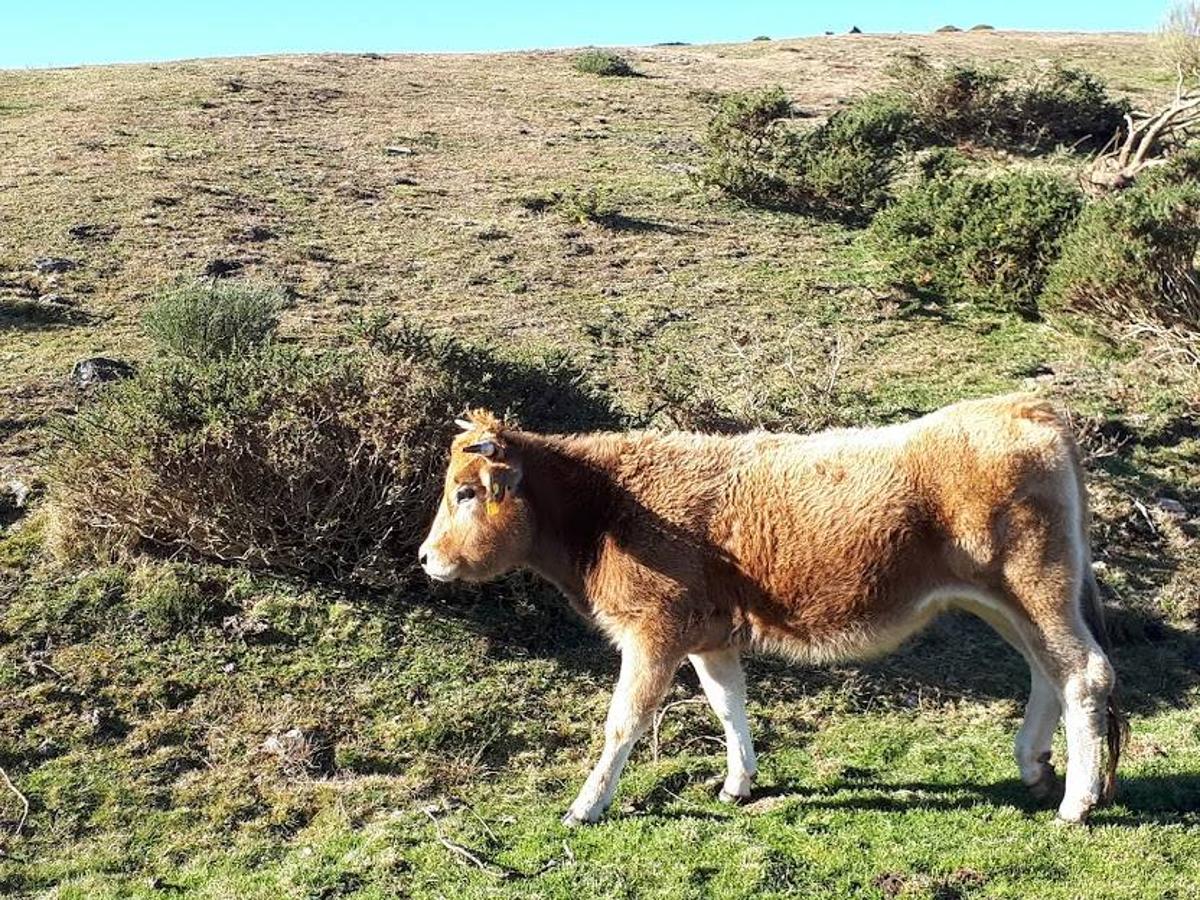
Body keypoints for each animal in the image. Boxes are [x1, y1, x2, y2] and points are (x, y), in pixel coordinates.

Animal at [420, 398, 1123, 830]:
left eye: (466, 492)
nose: (427, 557)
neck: (611, 508)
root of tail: (1023, 405)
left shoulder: (653, 632)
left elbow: (624, 722)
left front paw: (587, 805)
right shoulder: (707, 636)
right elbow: (729, 705)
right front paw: (740, 782)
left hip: (1037, 588)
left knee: (1083, 674)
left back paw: (1077, 802)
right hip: (1004, 600)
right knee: (1046, 673)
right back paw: (1035, 766)